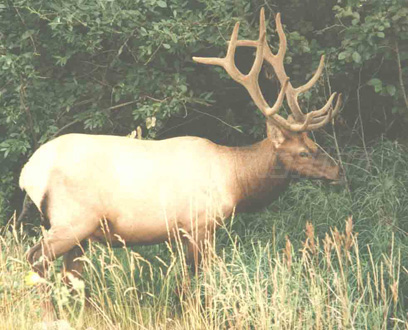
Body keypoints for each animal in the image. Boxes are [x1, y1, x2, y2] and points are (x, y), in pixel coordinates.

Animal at [19, 7, 342, 318]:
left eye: (315, 144)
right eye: (304, 151)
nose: (337, 170)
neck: (235, 180)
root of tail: (28, 174)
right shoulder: (199, 223)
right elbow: (197, 279)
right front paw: (195, 313)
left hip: (78, 230)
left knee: (71, 274)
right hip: (72, 219)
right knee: (37, 259)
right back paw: (47, 314)